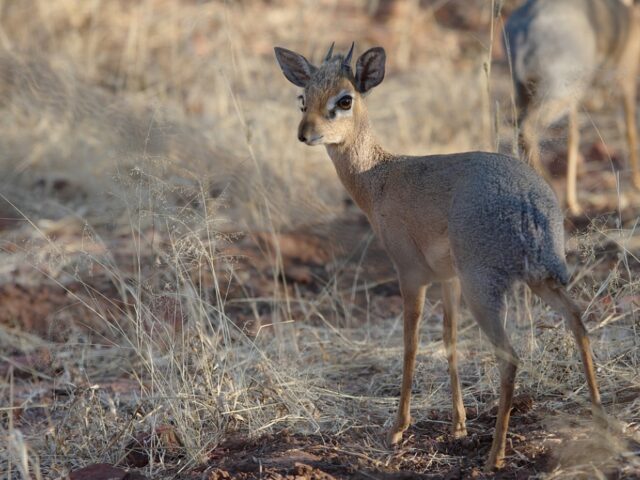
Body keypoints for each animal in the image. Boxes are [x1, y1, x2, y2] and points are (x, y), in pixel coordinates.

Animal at [276, 43, 604, 470]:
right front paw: (458, 426)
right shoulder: (449, 280)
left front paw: (398, 428)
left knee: (510, 356)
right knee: (578, 321)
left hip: (485, 288)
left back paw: (495, 456)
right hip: (539, 279)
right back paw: (600, 417)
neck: (379, 179)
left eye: (344, 99)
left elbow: (411, 344)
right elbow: (449, 340)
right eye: (303, 97)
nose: (305, 133)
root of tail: (531, 205)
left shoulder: (410, 275)